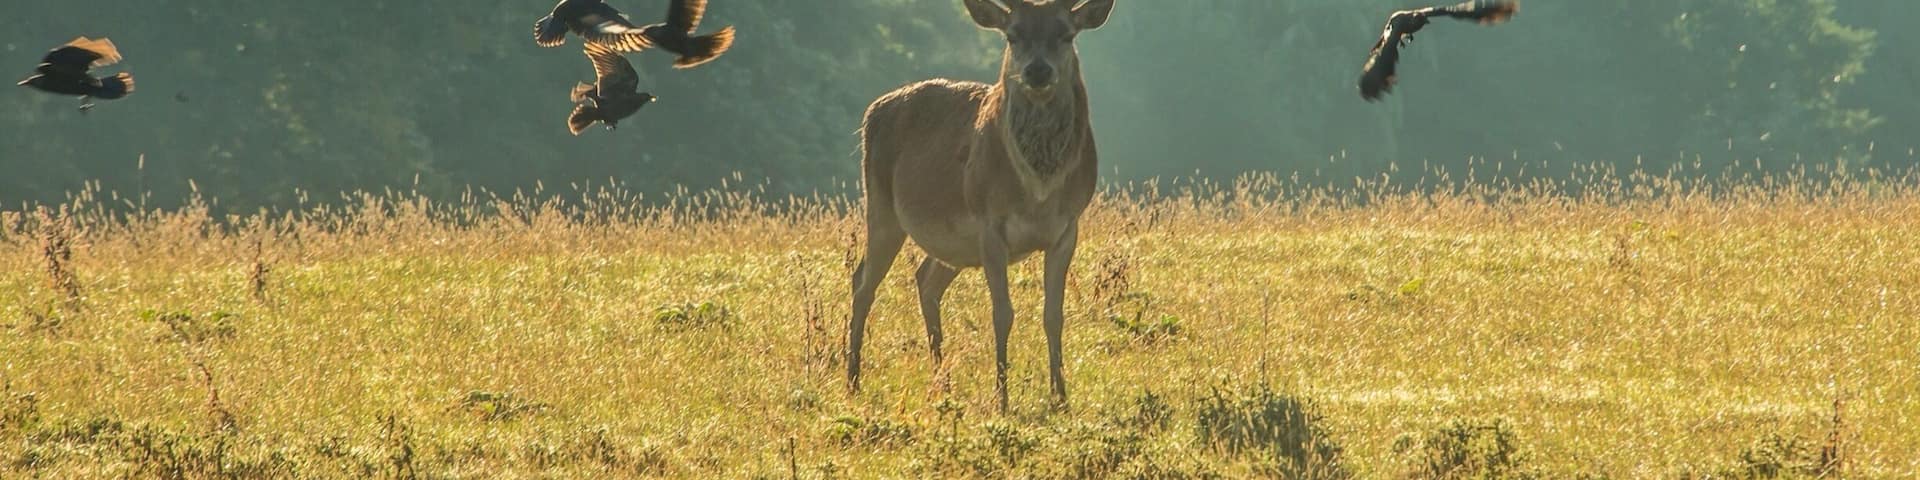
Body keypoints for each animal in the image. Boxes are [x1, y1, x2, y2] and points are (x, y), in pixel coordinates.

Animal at [846, 0, 1117, 412]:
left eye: (1066, 34)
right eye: (1013, 35)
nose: (1037, 71)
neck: (1038, 192)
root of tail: (871, 111)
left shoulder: (1068, 226)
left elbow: (1054, 314)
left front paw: (1060, 396)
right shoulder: (990, 222)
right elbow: (1001, 313)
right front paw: (1001, 398)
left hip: (951, 242)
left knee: (925, 279)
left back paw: (942, 382)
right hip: (881, 206)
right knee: (862, 281)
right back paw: (853, 380)